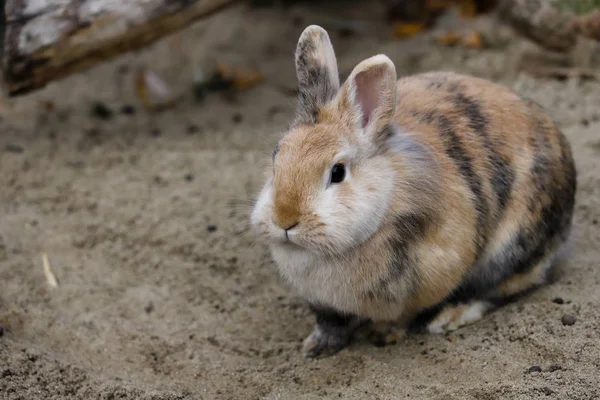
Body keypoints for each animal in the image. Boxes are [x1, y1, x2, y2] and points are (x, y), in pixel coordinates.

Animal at [250, 24, 576, 356]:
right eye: (276, 160)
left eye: (337, 172)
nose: (284, 219)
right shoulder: (323, 302)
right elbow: (330, 322)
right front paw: (316, 347)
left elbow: (403, 315)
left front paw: (385, 334)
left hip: (511, 248)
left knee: (501, 288)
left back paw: (449, 317)